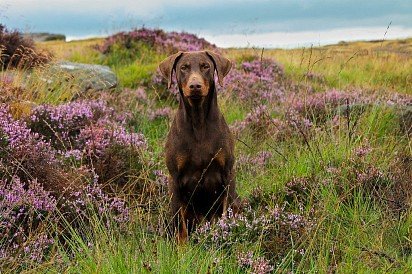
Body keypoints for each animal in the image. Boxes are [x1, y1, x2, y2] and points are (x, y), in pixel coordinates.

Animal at [159, 50, 240, 242]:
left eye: (205, 66)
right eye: (183, 67)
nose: (195, 86)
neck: (198, 122)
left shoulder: (227, 174)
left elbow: (226, 212)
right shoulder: (175, 179)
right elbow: (179, 225)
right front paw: (181, 247)